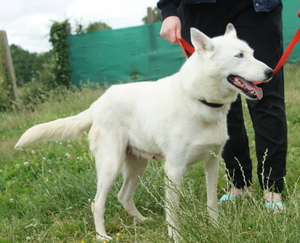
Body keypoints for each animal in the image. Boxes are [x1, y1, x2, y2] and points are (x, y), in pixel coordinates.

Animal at [15, 24, 274, 241]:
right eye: (239, 56)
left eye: (252, 53)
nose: (270, 72)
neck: (198, 100)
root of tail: (97, 103)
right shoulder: (174, 170)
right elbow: (173, 212)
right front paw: (176, 237)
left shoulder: (212, 162)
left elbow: (211, 203)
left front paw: (217, 227)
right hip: (110, 166)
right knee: (97, 203)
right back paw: (102, 236)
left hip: (138, 165)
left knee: (123, 196)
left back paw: (142, 221)